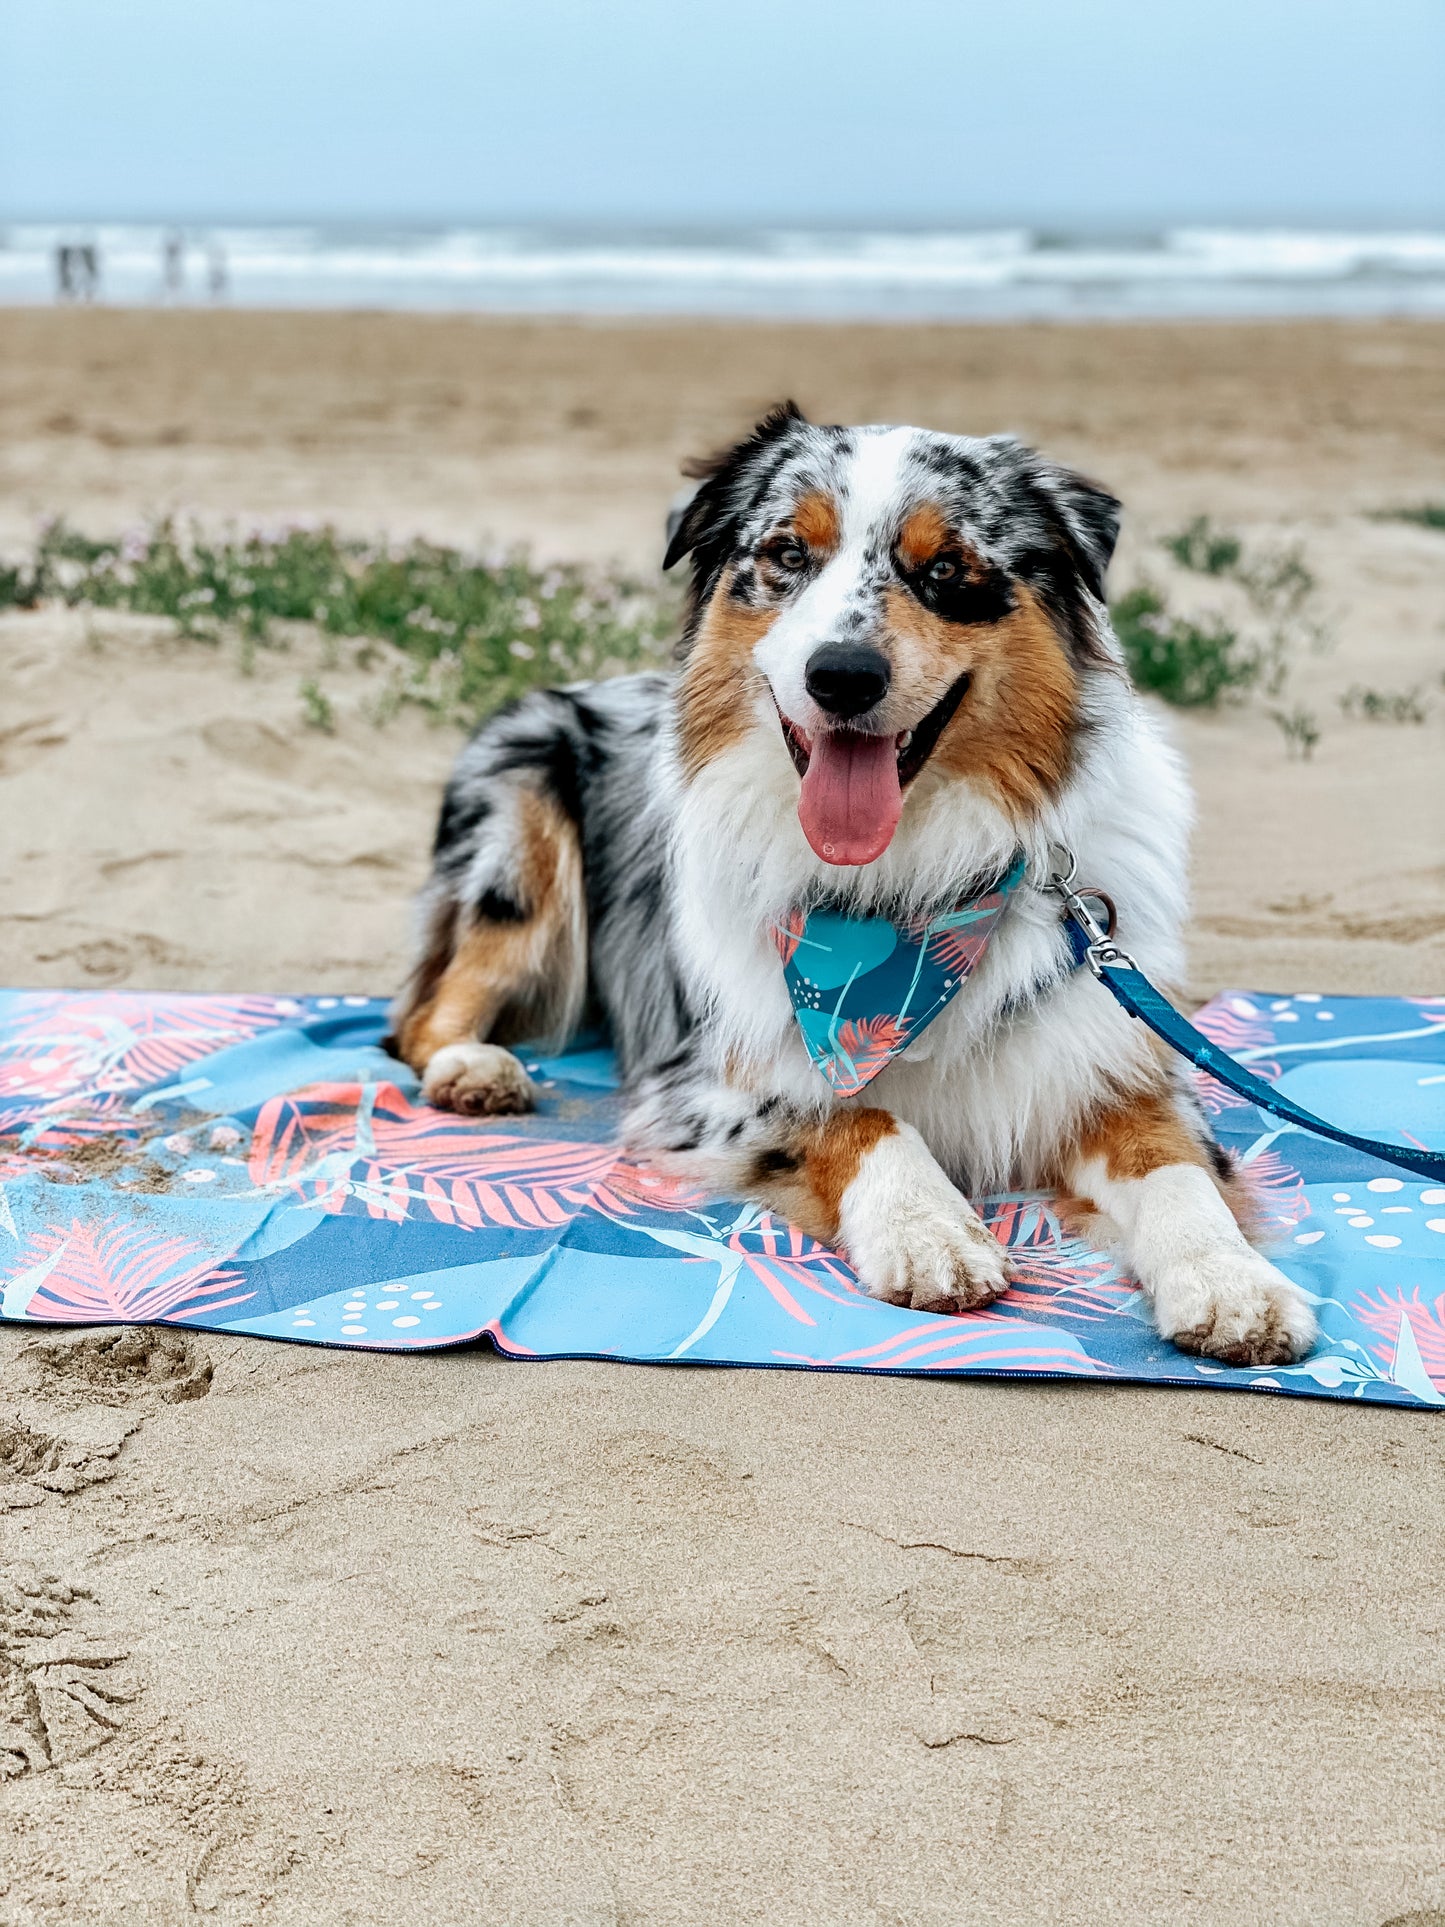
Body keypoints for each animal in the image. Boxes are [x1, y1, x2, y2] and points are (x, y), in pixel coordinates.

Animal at [391, 406, 1317, 1372]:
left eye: (945, 569)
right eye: (787, 553)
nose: (841, 675)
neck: (901, 892)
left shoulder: (1109, 1058)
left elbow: (1174, 1169)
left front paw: (1228, 1279)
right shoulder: (710, 1072)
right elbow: (862, 1120)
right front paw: (927, 1229)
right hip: (520, 830)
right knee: (421, 1010)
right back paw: (473, 1067)